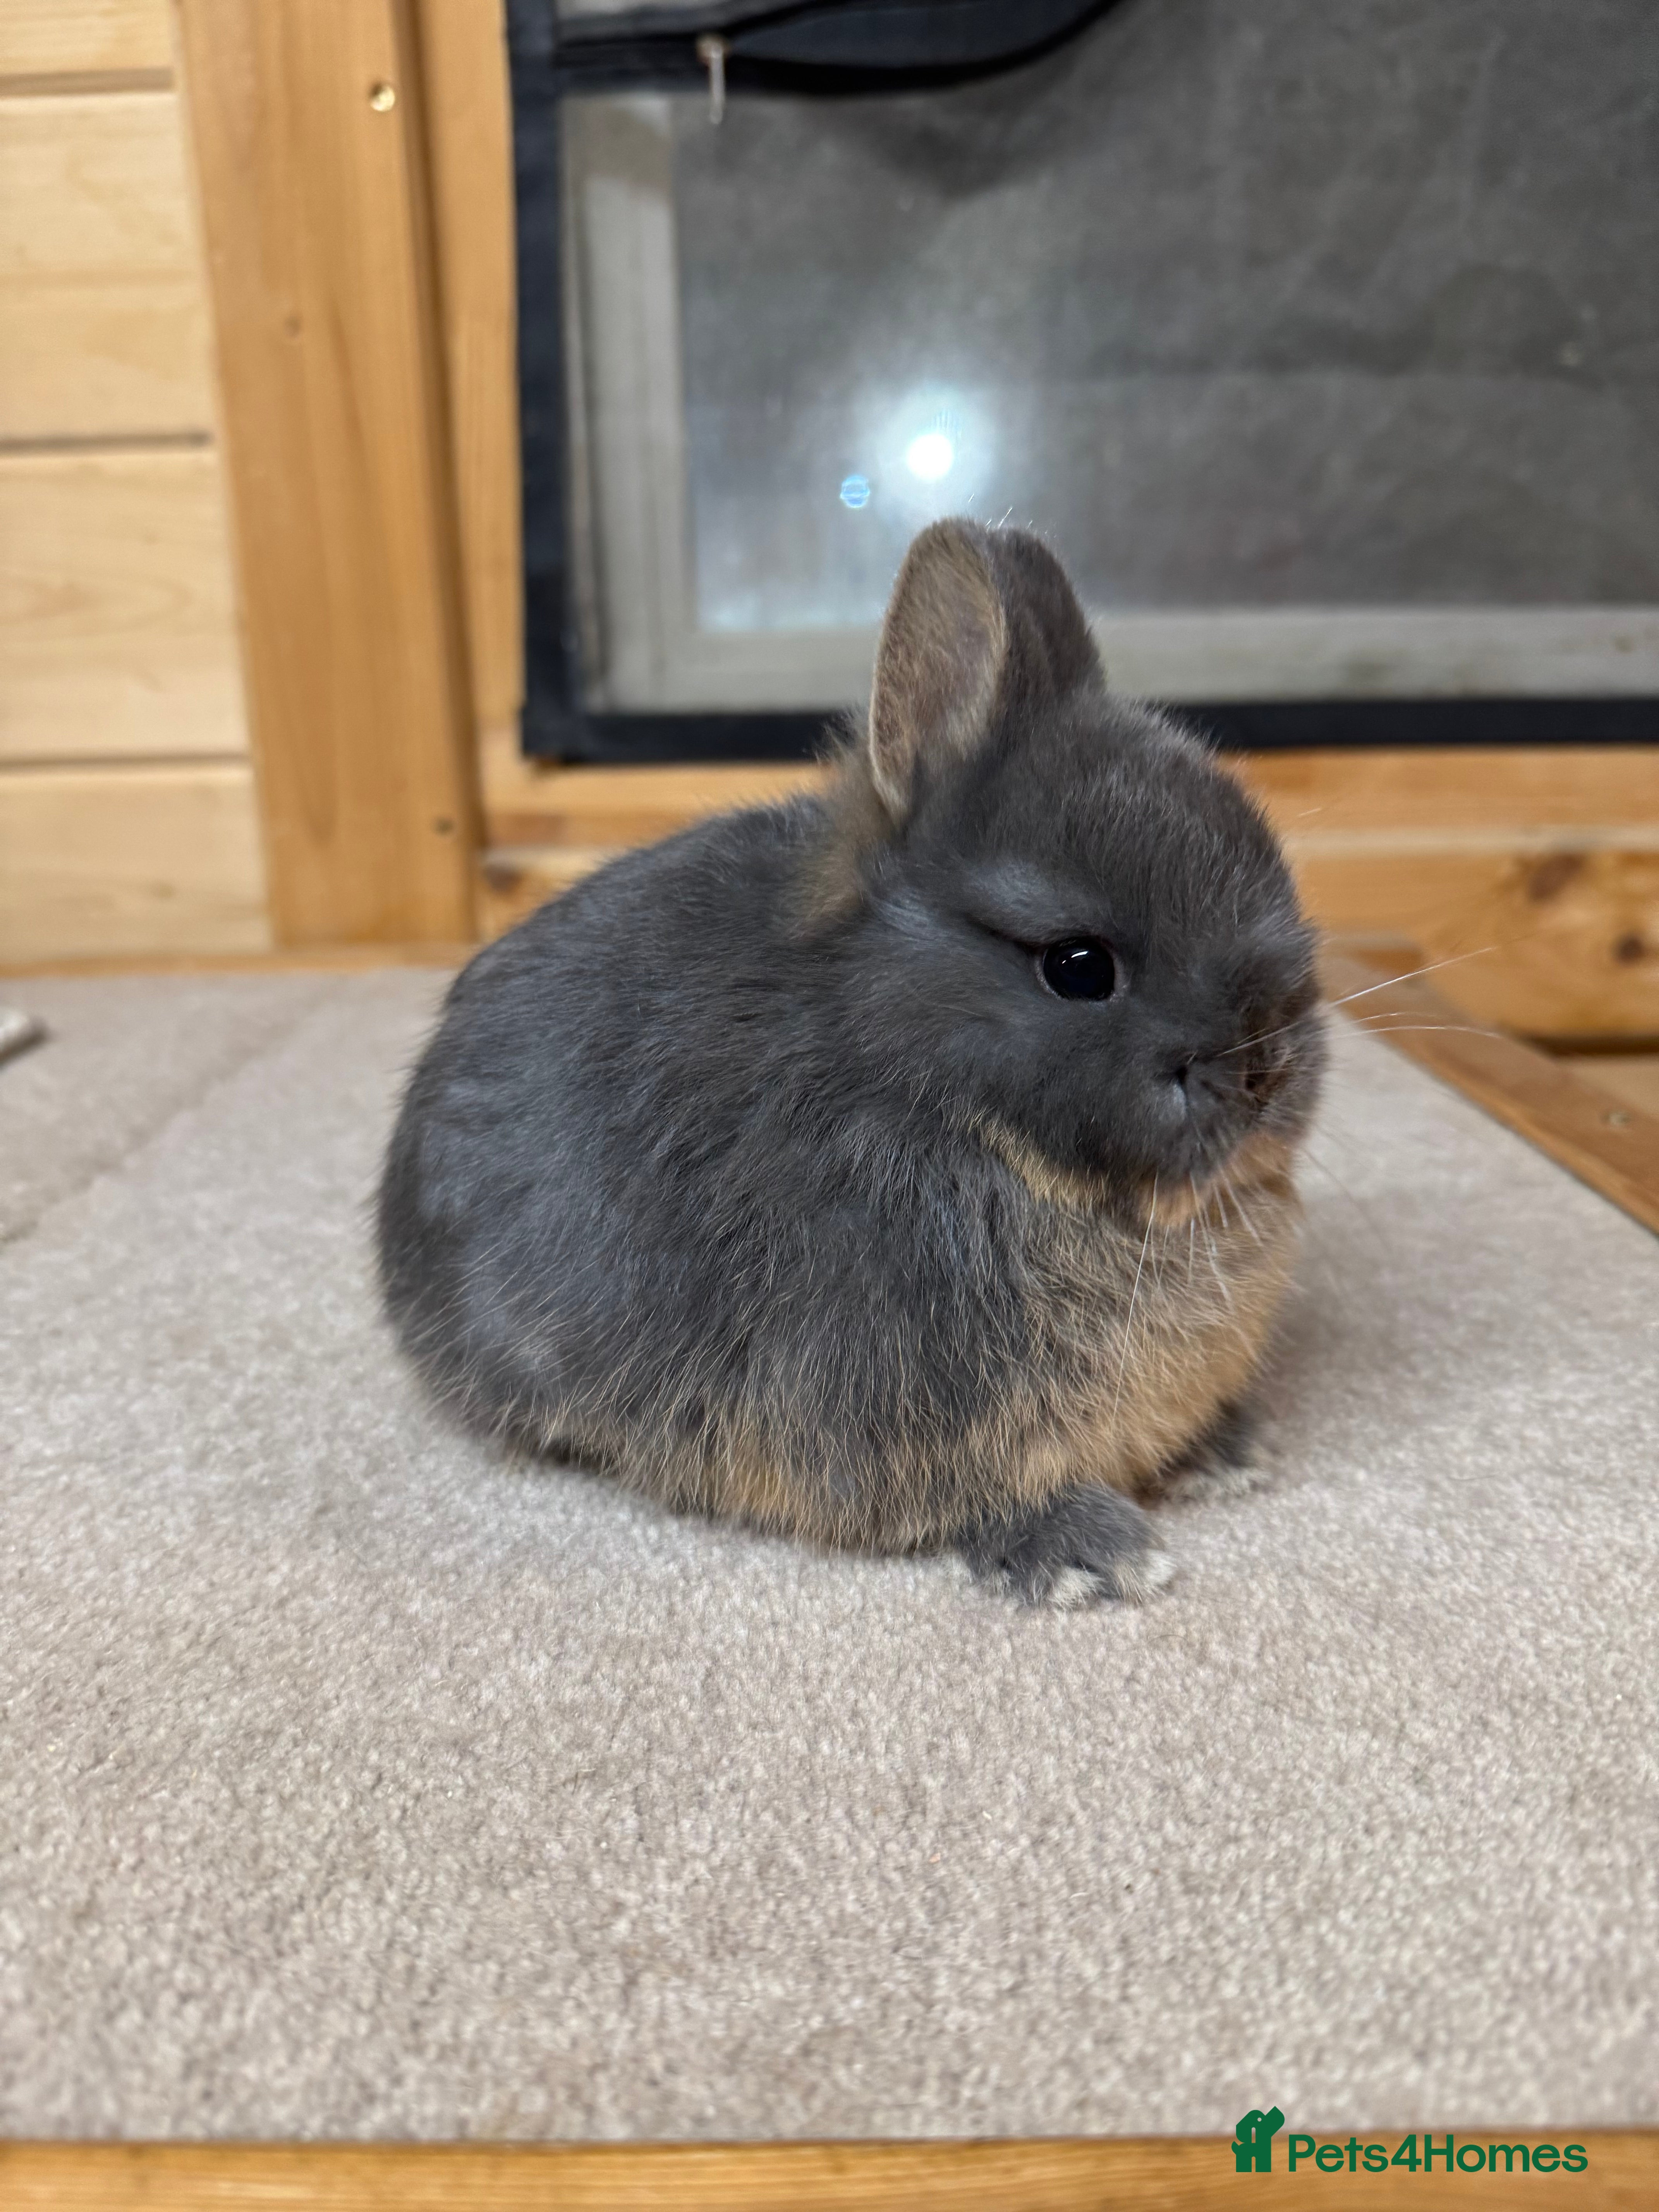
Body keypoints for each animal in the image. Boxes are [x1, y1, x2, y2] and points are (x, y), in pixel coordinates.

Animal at [378, 518, 1325, 1606]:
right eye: (1078, 967)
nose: (1264, 1067)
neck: (929, 1093)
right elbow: (959, 1493)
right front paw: (1093, 1554)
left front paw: (1230, 1450)